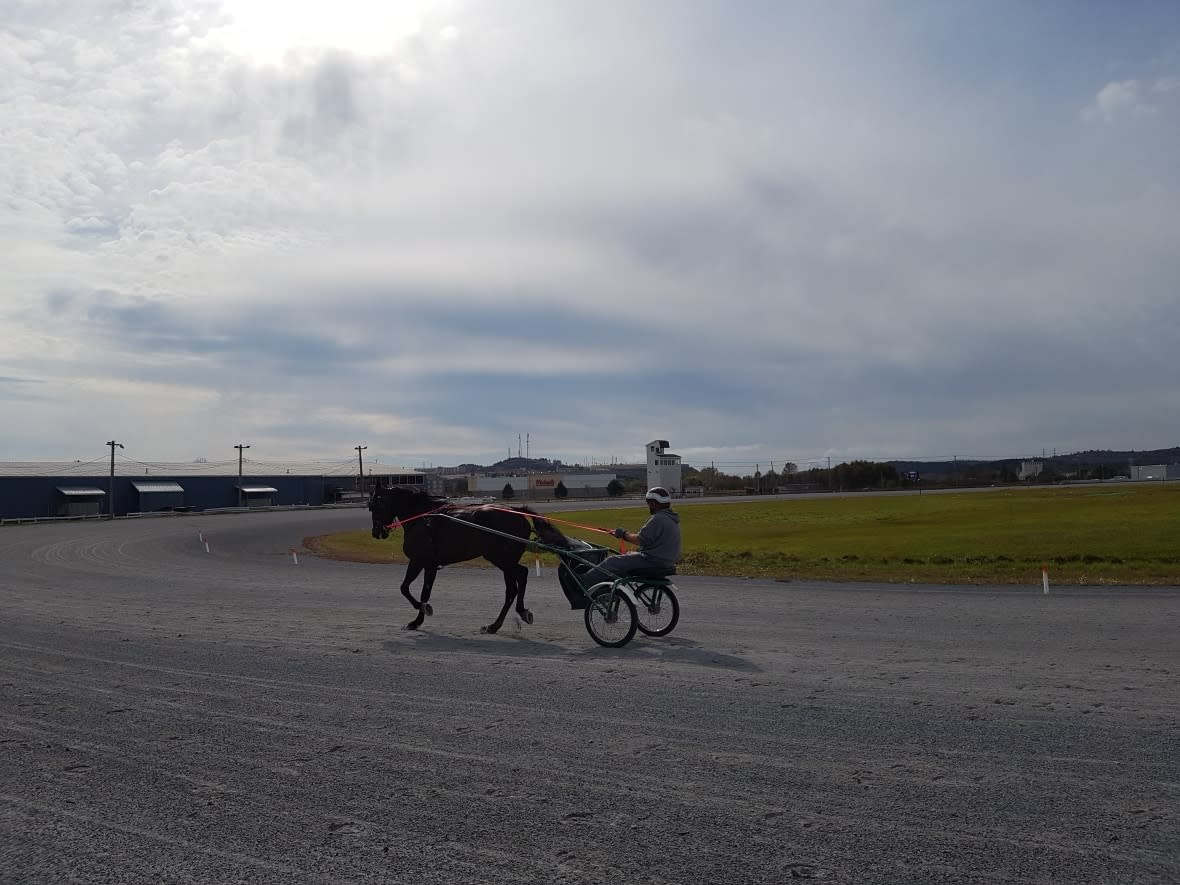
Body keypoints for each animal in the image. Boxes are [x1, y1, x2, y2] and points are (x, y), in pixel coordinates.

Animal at [368, 488, 571, 632]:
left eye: (375, 506)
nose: (376, 532)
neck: (423, 517)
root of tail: (516, 510)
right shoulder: (430, 565)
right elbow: (424, 592)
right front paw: (418, 619)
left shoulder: (418, 560)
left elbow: (405, 588)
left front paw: (421, 611)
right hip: (505, 560)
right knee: (513, 588)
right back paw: (495, 625)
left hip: (501, 559)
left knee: (521, 575)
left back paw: (513, 615)